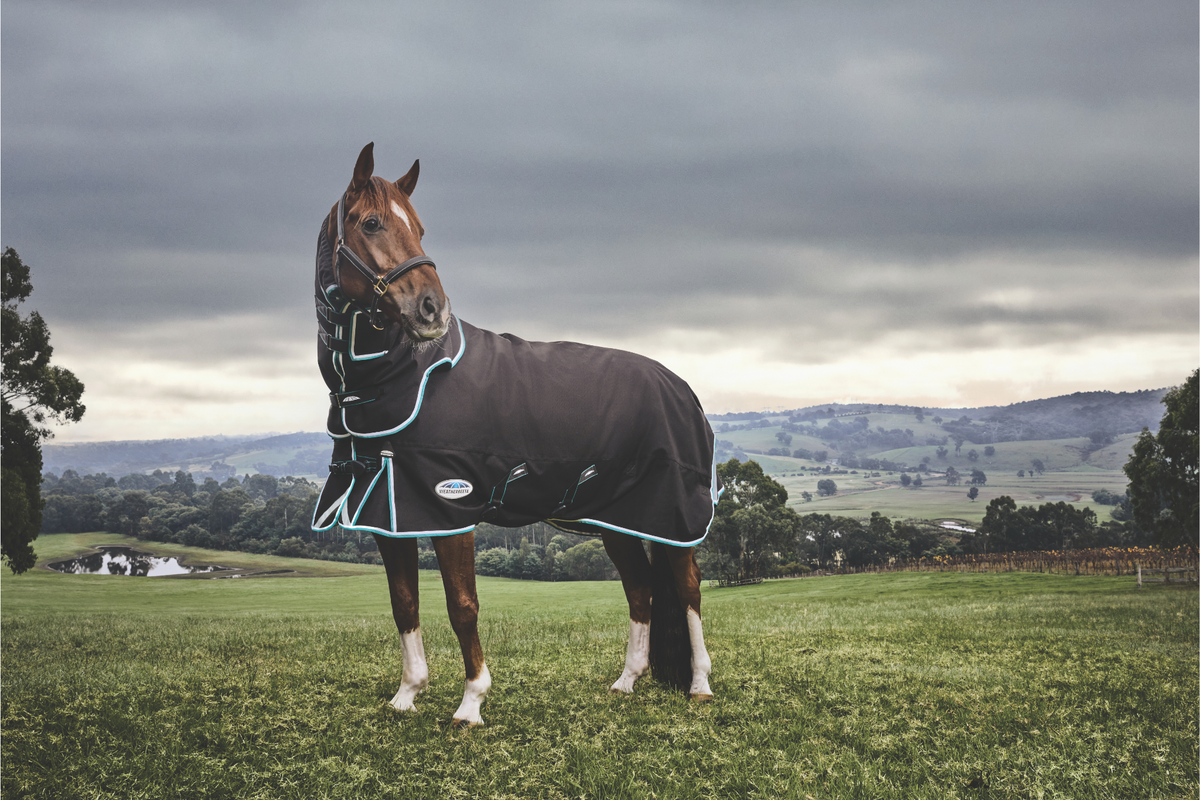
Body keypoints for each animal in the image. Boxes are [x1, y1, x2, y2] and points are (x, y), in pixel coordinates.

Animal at [310, 143, 722, 727]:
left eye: (420, 227)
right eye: (371, 223)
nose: (432, 309)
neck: (410, 377)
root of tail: (680, 386)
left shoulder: (450, 508)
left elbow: (462, 606)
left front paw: (471, 703)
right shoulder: (390, 514)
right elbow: (404, 604)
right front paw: (407, 694)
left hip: (672, 516)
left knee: (687, 588)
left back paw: (700, 685)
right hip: (616, 518)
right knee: (640, 588)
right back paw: (626, 681)